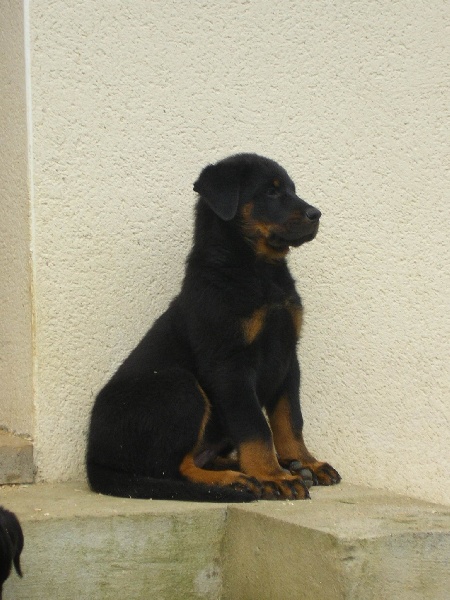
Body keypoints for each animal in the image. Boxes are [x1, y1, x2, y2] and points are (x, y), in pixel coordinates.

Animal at [87, 152, 342, 500]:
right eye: (271, 192)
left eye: (292, 189)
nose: (316, 214)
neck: (258, 270)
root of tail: (93, 460)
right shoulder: (230, 364)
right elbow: (255, 426)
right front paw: (273, 475)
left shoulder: (288, 356)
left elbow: (290, 419)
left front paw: (304, 462)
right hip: (178, 386)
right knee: (170, 468)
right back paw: (236, 480)